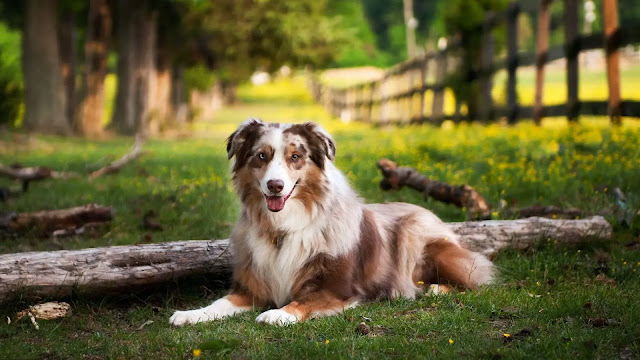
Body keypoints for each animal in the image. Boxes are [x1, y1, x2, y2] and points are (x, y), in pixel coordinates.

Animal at [170, 118, 496, 326]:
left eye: (295, 157)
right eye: (261, 156)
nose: (275, 186)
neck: (284, 228)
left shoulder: (337, 290)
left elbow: (303, 302)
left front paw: (278, 314)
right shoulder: (254, 289)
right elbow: (219, 303)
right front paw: (190, 314)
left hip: (415, 234)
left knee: (477, 279)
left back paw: (436, 289)